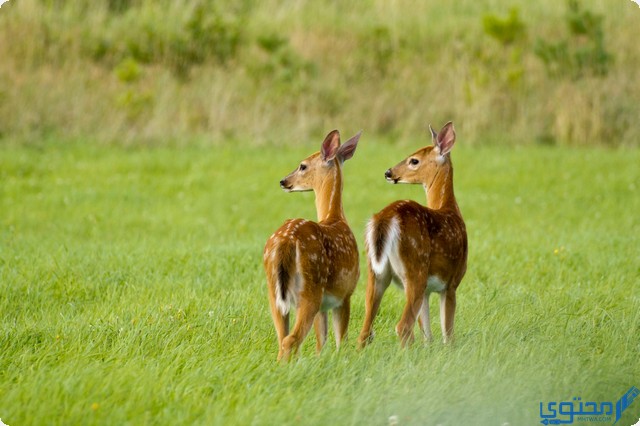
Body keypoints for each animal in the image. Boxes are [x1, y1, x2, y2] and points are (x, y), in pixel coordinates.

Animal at [260, 129, 360, 360]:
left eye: (302, 165)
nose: (283, 181)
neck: (335, 217)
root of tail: (286, 241)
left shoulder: (328, 303)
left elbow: (321, 342)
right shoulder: (346, 292)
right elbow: (341, 339)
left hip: (275, 292)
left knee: (282, 338)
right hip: (310, 288)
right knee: (290, 340)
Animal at [358, 121, 468, 348]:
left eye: (414, 160)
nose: (388, 172)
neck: (450, 210)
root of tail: (384, 219)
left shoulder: (428, 290)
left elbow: (427, 331)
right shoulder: (452, 282)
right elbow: (447, 330)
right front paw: (450, 348)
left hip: (376, 273)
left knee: (365, 330)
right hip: (414, 268)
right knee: (403, 327)